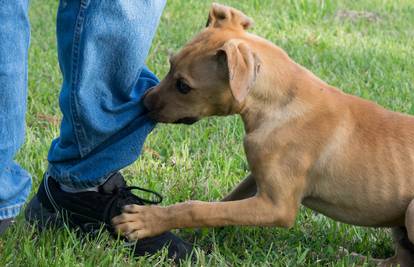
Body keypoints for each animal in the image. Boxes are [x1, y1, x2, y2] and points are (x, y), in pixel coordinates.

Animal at [112, 3, 414, 266]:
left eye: (184, 86)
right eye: (170, 64)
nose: (144, 103)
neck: (280, 103)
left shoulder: (276, 206)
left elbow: (198, 207)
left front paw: (146, 221)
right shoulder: (256, 178)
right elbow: (220, 206)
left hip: (411, 210)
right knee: (400, 260)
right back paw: (349, 257)